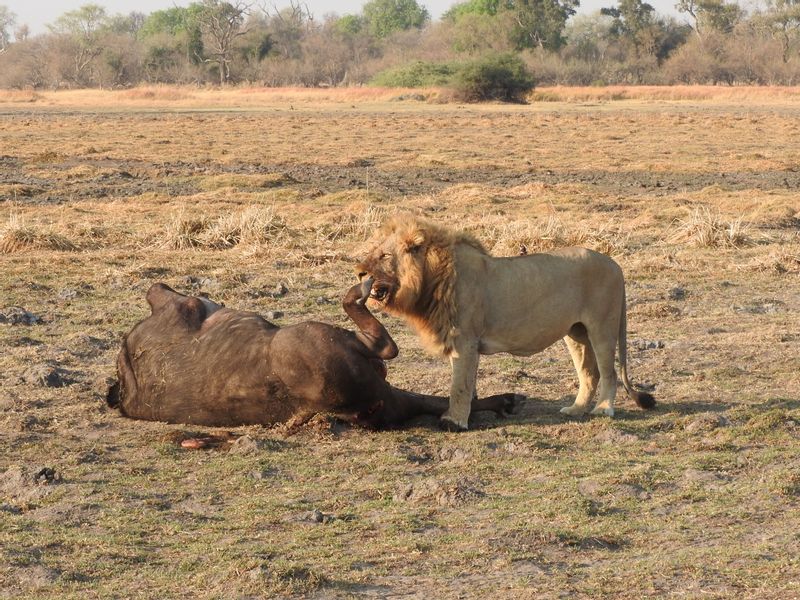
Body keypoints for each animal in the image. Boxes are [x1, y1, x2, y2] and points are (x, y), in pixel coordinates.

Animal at [358, 214, 656, 432]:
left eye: (385, 256)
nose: (359, 272)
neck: (432, 278)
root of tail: (616, 264)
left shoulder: (465, 339)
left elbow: (459, 384)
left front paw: (454, 422)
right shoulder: (459, 342)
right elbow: (465, 382)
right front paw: (468, 414)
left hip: (602, 326)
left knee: (609, 372)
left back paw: (603, 410)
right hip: (576, 332)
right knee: (589, 373)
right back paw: (576, 410)